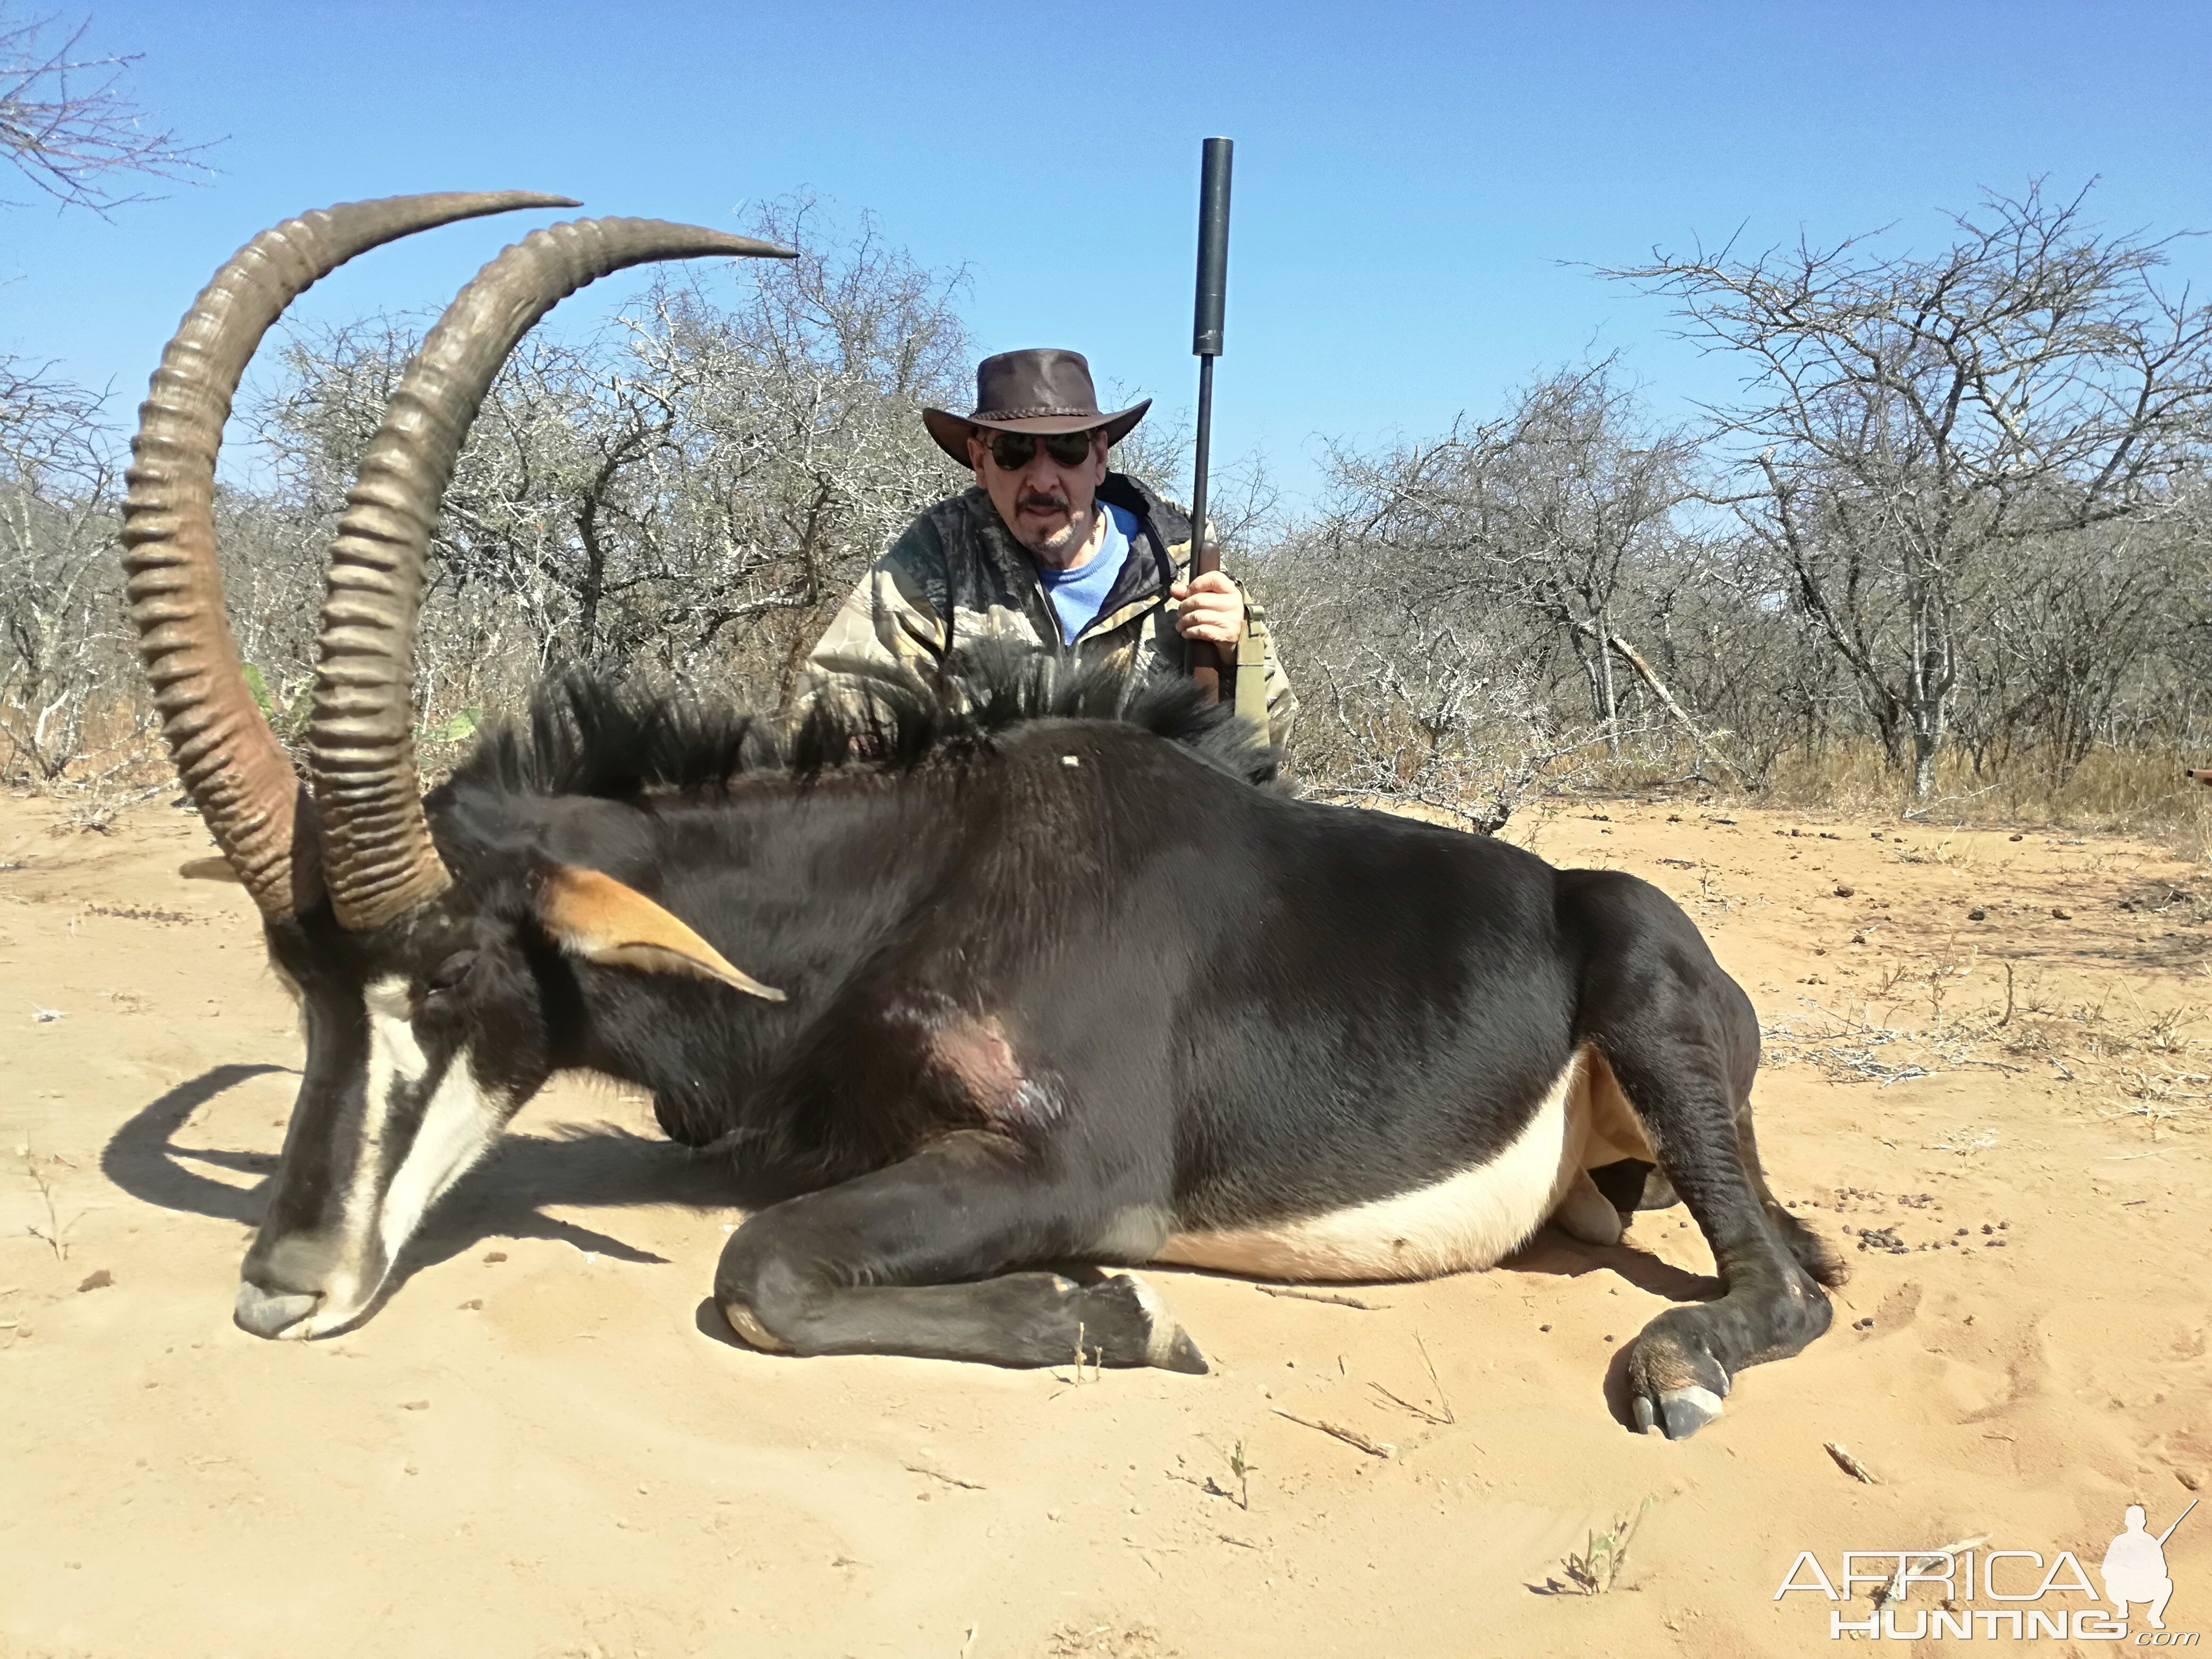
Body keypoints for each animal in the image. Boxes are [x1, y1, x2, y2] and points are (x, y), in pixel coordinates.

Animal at [125, 195, 1849, 1442]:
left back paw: (1679, 1363)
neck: (913, 878)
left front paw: (1120, 1315)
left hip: (1642, 985)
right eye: (300, 988)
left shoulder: (1076, 1163)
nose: (281, 1288)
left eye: (447, 975)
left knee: (1791, 1282)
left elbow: (755, 1266)